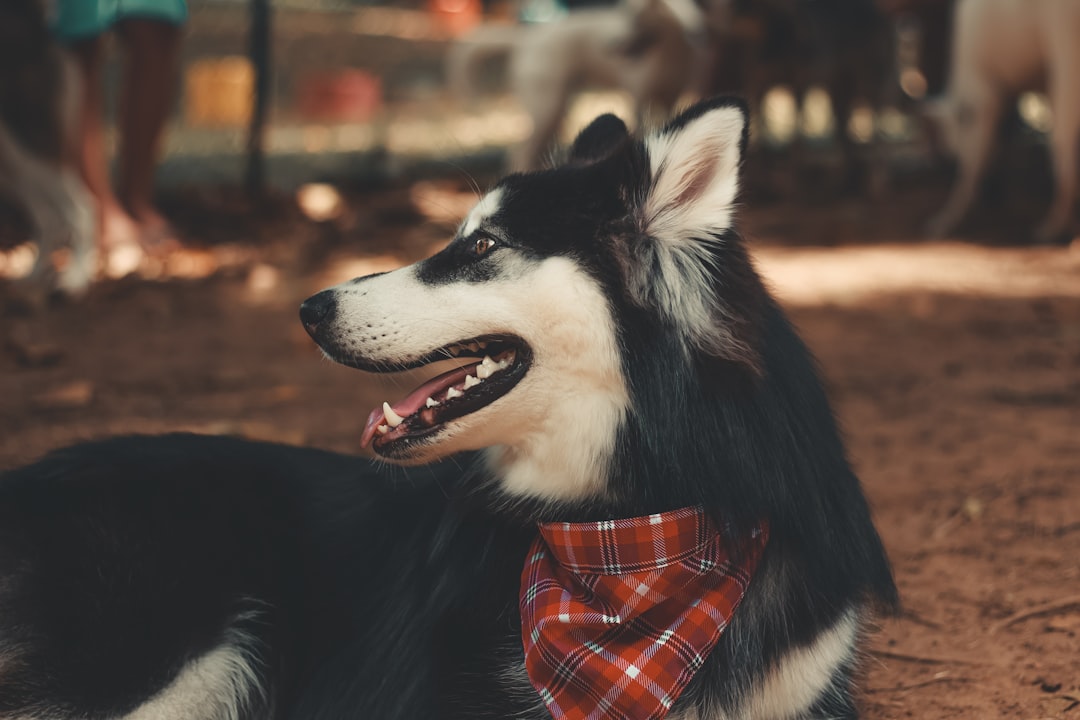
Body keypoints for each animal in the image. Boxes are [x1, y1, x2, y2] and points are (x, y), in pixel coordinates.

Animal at [447, 0, 708, 170]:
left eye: (637, 16)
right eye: (626, 12)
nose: (609, 45)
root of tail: (527, 38)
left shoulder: (670, 98)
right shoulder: (639, 100)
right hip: (547, 107)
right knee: (519, 154)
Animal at [924, 0, 1080, 243]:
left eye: (949, 161)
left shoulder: (983, 102)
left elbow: (969, 173)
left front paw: (949, 219)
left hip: (1066, 56)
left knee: (1063, 150)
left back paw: (1052, 226)